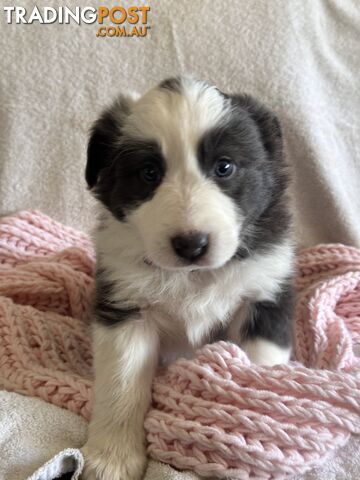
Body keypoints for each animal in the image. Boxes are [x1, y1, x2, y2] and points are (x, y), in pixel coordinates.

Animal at [82, 77, 296, 478]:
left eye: (224, 167)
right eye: (149, 173)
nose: (191, 245)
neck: (194, 276)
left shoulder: (265, 293)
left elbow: (258, 369)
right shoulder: (126, 308)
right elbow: (121, 386)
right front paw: (113, 458)